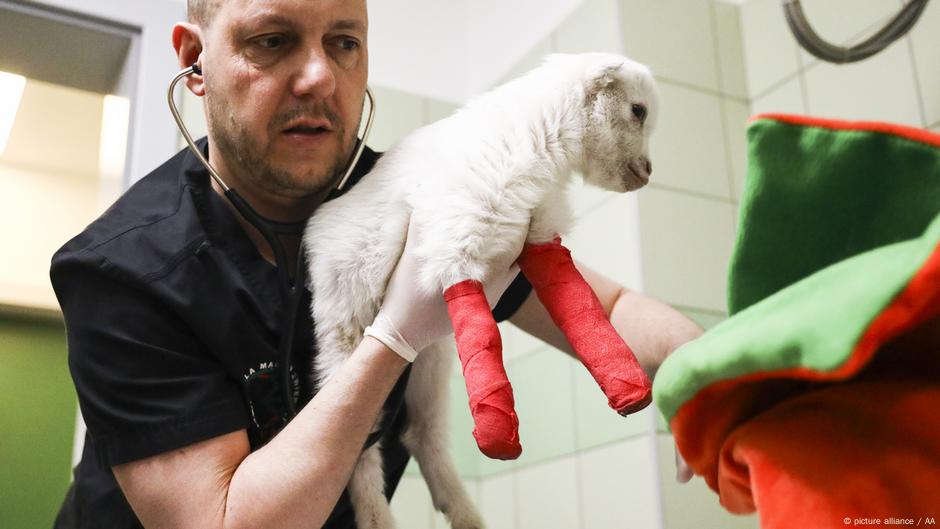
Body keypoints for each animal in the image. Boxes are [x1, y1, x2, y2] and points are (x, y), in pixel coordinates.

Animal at [304, 52, 656, 528]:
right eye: (637, 111)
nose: (649, 173)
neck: (540, 141)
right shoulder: (456, 245)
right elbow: (483, 332)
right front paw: (498, 433)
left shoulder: (539, 237)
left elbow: (578, 302)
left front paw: (627, 382)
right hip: (344, 338)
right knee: (359, 449)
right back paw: (380, 518)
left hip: (430, 360)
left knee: (422, 434)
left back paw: (465, 513)